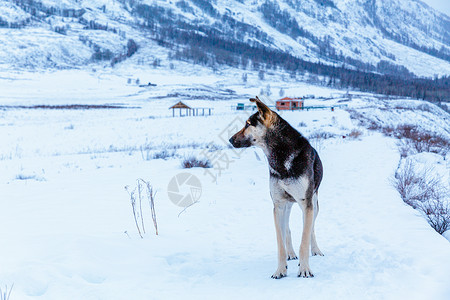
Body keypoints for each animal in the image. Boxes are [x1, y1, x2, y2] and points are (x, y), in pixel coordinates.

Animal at [229, 96, 324, 278]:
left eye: (247, 124)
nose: (230, 140)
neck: (281, 157)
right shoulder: (278, 205)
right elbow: (280, 242)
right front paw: (280, 269)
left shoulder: (306, 203)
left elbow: (305, 238)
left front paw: (305, 269)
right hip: (287, 205)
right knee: (287, 229)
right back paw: (291, 254)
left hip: (314, 204)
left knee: (311, 229)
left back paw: (315, 250)